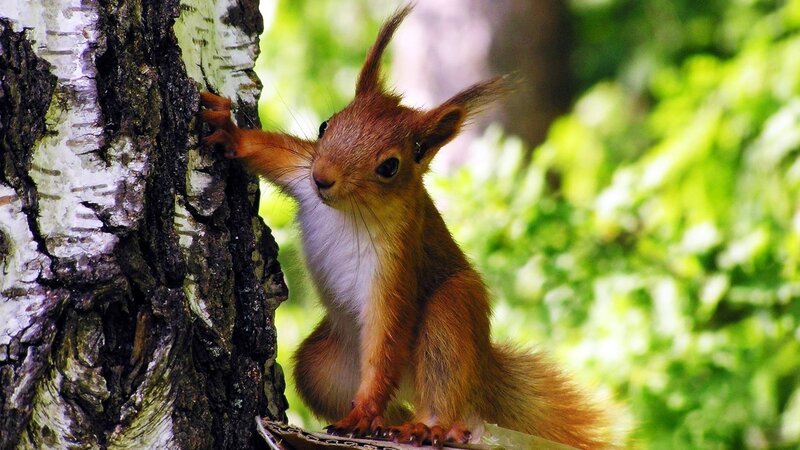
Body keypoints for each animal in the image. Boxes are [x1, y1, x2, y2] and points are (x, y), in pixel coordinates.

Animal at [200, 5, 614, 449]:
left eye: (389, 167)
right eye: (326, 125)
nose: (323, 179)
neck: (348, 210)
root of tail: (482, 375)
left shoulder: (397, 260)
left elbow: (387, 335)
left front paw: (363, 412)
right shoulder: (301, 169)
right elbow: (271, 152)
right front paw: (229, 133)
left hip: (452, 315)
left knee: (444, 389)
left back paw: (427, 426)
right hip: (323, 366)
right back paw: (386, 423)